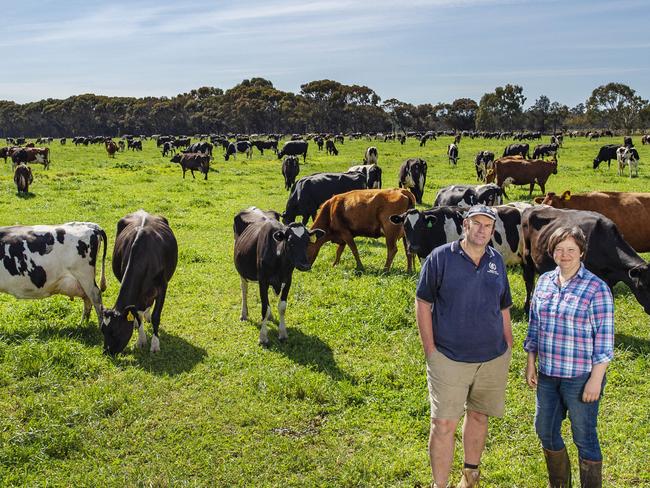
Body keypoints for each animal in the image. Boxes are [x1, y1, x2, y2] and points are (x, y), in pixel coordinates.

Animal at [99, 210, 176, 354]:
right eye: (103, 330)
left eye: (115, 332)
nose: (106, 352)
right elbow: (136, 314)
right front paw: (141, 340)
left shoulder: (162, 287)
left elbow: (156, 316)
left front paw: (155, 345)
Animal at [233, 208, 324, 346]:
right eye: (290, 242)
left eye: (307, 242)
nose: (305, 265)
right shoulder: (263, 281)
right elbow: (264, 308)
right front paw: (263, 337)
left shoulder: (288, 280)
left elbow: (281, 307)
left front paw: (283, 333)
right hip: (242, 271)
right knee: (244, 289)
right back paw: (244, 314)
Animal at [520, 204, 650, 314]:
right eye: (642, 286)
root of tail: (531, 207)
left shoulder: (608, 281)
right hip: (527, 258)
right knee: (529, 282)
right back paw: (527, 308)